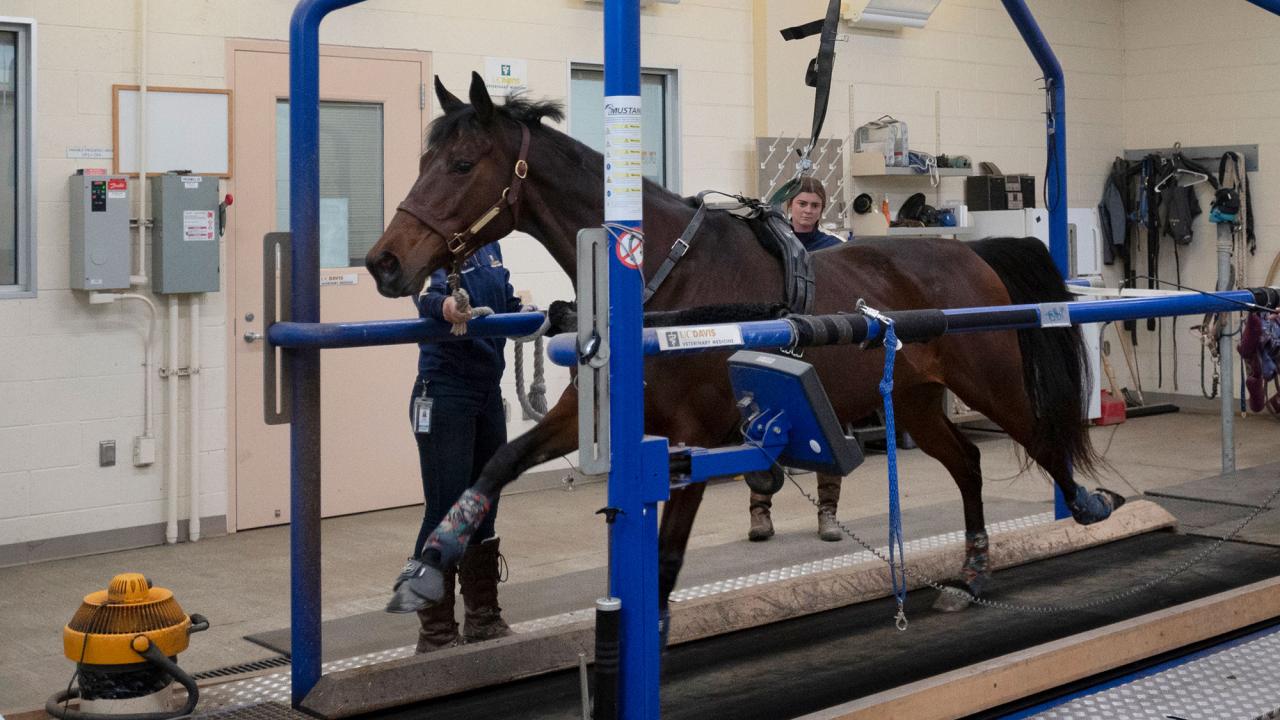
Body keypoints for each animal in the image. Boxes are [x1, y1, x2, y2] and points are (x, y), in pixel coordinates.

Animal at [366, 72, 1120, 621]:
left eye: (462, 163)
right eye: (427, 159)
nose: (384, 262)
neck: (659, 283)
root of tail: (970, 254)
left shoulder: (696, 438)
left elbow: (665, 561)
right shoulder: (587, 415)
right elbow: (497, 464)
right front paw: (429, 563)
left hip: (991, 385)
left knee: (1042, 437)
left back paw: (1084, 506)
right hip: (916, 401)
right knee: (967, 460)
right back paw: (974, 566)